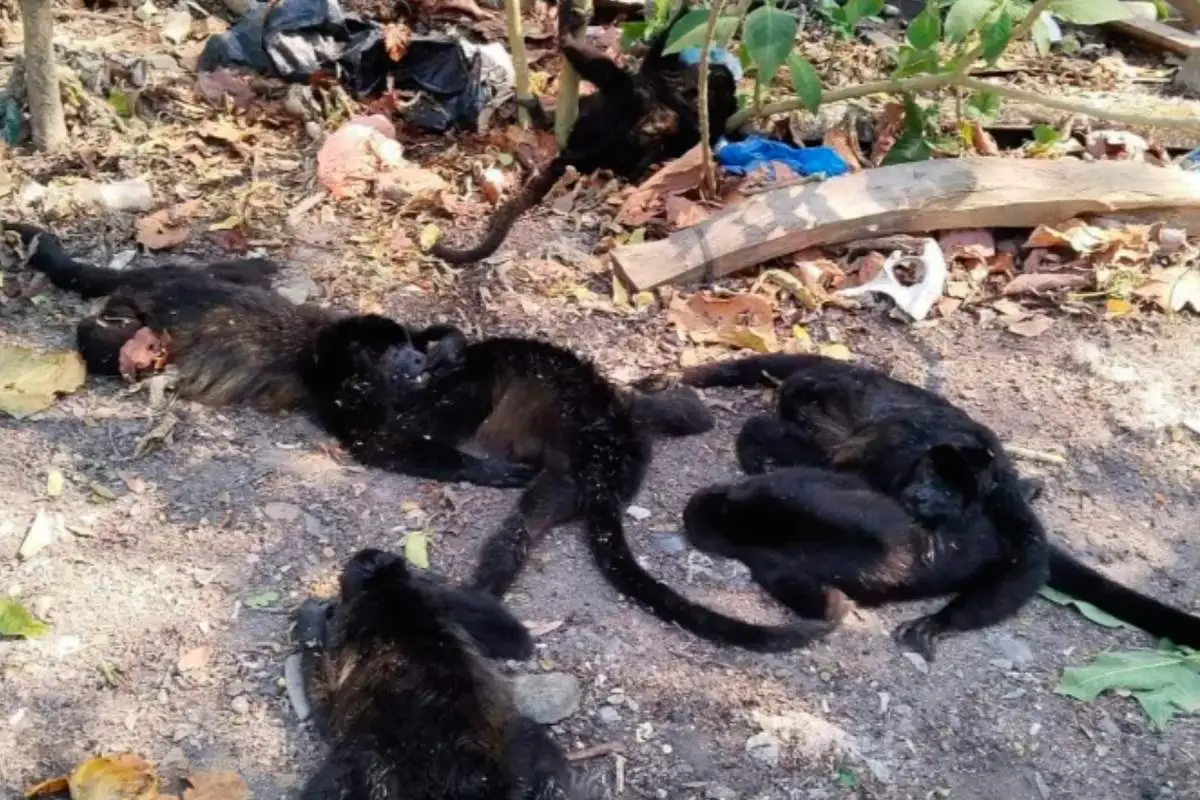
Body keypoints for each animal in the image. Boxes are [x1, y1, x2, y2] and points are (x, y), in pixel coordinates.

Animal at [294, 548, 596, 800]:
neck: (388, 594)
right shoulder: (440, 601)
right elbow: (517, 639)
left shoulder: (349, 627)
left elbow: (326, 718)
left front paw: (310, 624)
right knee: (532, 735)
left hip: (370, 769)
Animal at [301, 315, 833, 653]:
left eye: (403, 357)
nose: (413, 363)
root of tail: (611, 468)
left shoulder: (459, 388)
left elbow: (395, 433)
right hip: (598, 459)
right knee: (673, 416)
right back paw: (675, 399)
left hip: (582, 463)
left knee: (517, 529)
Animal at [429, 0, 739, 265]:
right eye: (708, 71)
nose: (706, 73)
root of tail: (577, 156)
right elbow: (664, 57)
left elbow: (655, 77)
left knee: (628, 92)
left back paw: (567, 38)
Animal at [679, 353, 1200, 653]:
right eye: (931, 476)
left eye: (949, 491)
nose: (926, 496)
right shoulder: (891, 457)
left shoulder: (1000, 495)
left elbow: (1027, 561)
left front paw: (941, 621)